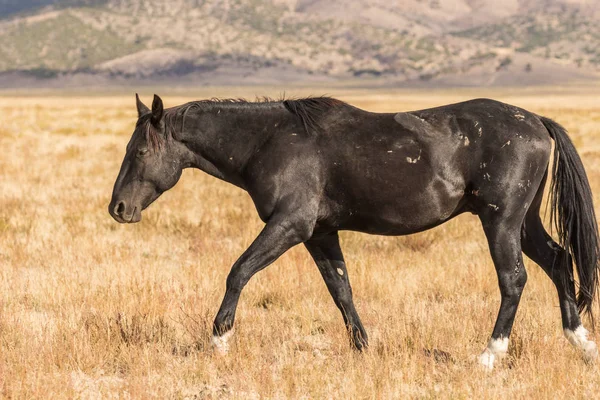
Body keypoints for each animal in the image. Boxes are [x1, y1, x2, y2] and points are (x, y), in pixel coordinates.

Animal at [109, 94, 600, 368]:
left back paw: (490, 355)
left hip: (501, 220)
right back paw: (581, 343)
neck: (270, 140)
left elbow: (239, 271)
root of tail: (536, 121)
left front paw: (219, 340)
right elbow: (340, 289)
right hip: (524, 222)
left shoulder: (290, 224)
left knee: (513, 280)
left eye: (139, 151)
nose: (118, 209)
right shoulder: (319, 233)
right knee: (559, 261)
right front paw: (363, 348)